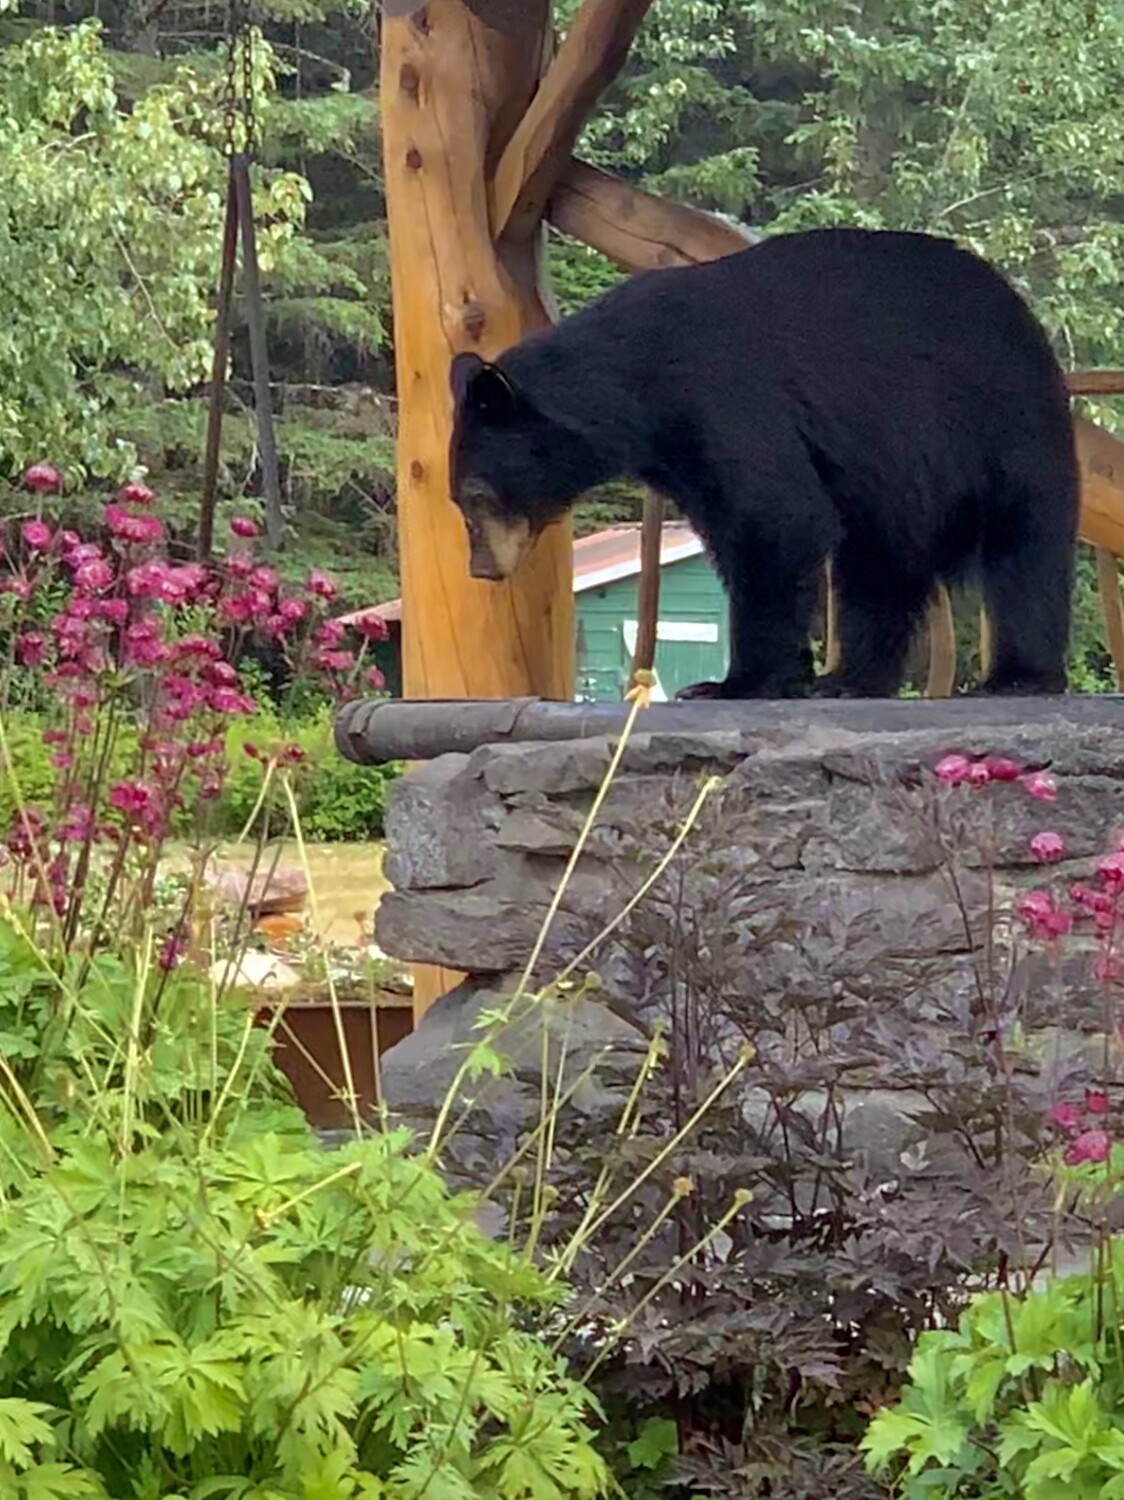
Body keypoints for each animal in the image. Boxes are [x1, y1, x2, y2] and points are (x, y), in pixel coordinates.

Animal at [448, 227, 1079, 699]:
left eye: (478, 493)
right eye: (460, 500)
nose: (481, 568)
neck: (634, 386)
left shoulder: (722, 395)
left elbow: (774, 517)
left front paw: (734, 682)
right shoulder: (678, 449)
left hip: (999, 418)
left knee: (1025, 545)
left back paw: (1018, 675)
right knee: (877, 568)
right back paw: (850, 678)